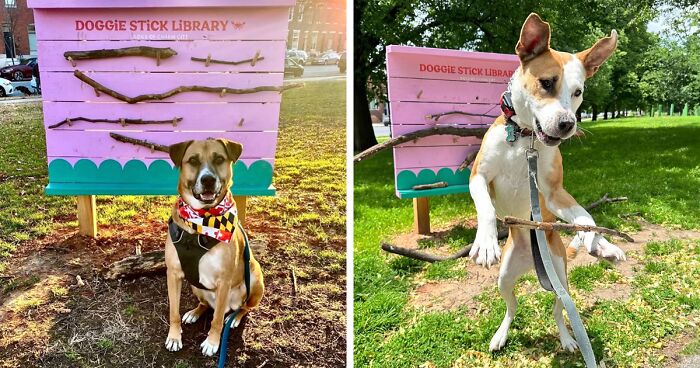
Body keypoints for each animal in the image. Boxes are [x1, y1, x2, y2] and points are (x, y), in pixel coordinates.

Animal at [470, 12, 628, 354]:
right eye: (546, 83)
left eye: (578, 92)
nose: (568, 124)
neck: (524, 139)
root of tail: (532, 264)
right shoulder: (477, 176)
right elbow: (486, 208)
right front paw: (486, 242)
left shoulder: (554, 193)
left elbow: (587, 218)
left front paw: (601, 244)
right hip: (505, 277)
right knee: (511, 307)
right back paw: (501, 334)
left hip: (561, 279)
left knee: (558, 310)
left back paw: (568, 338)